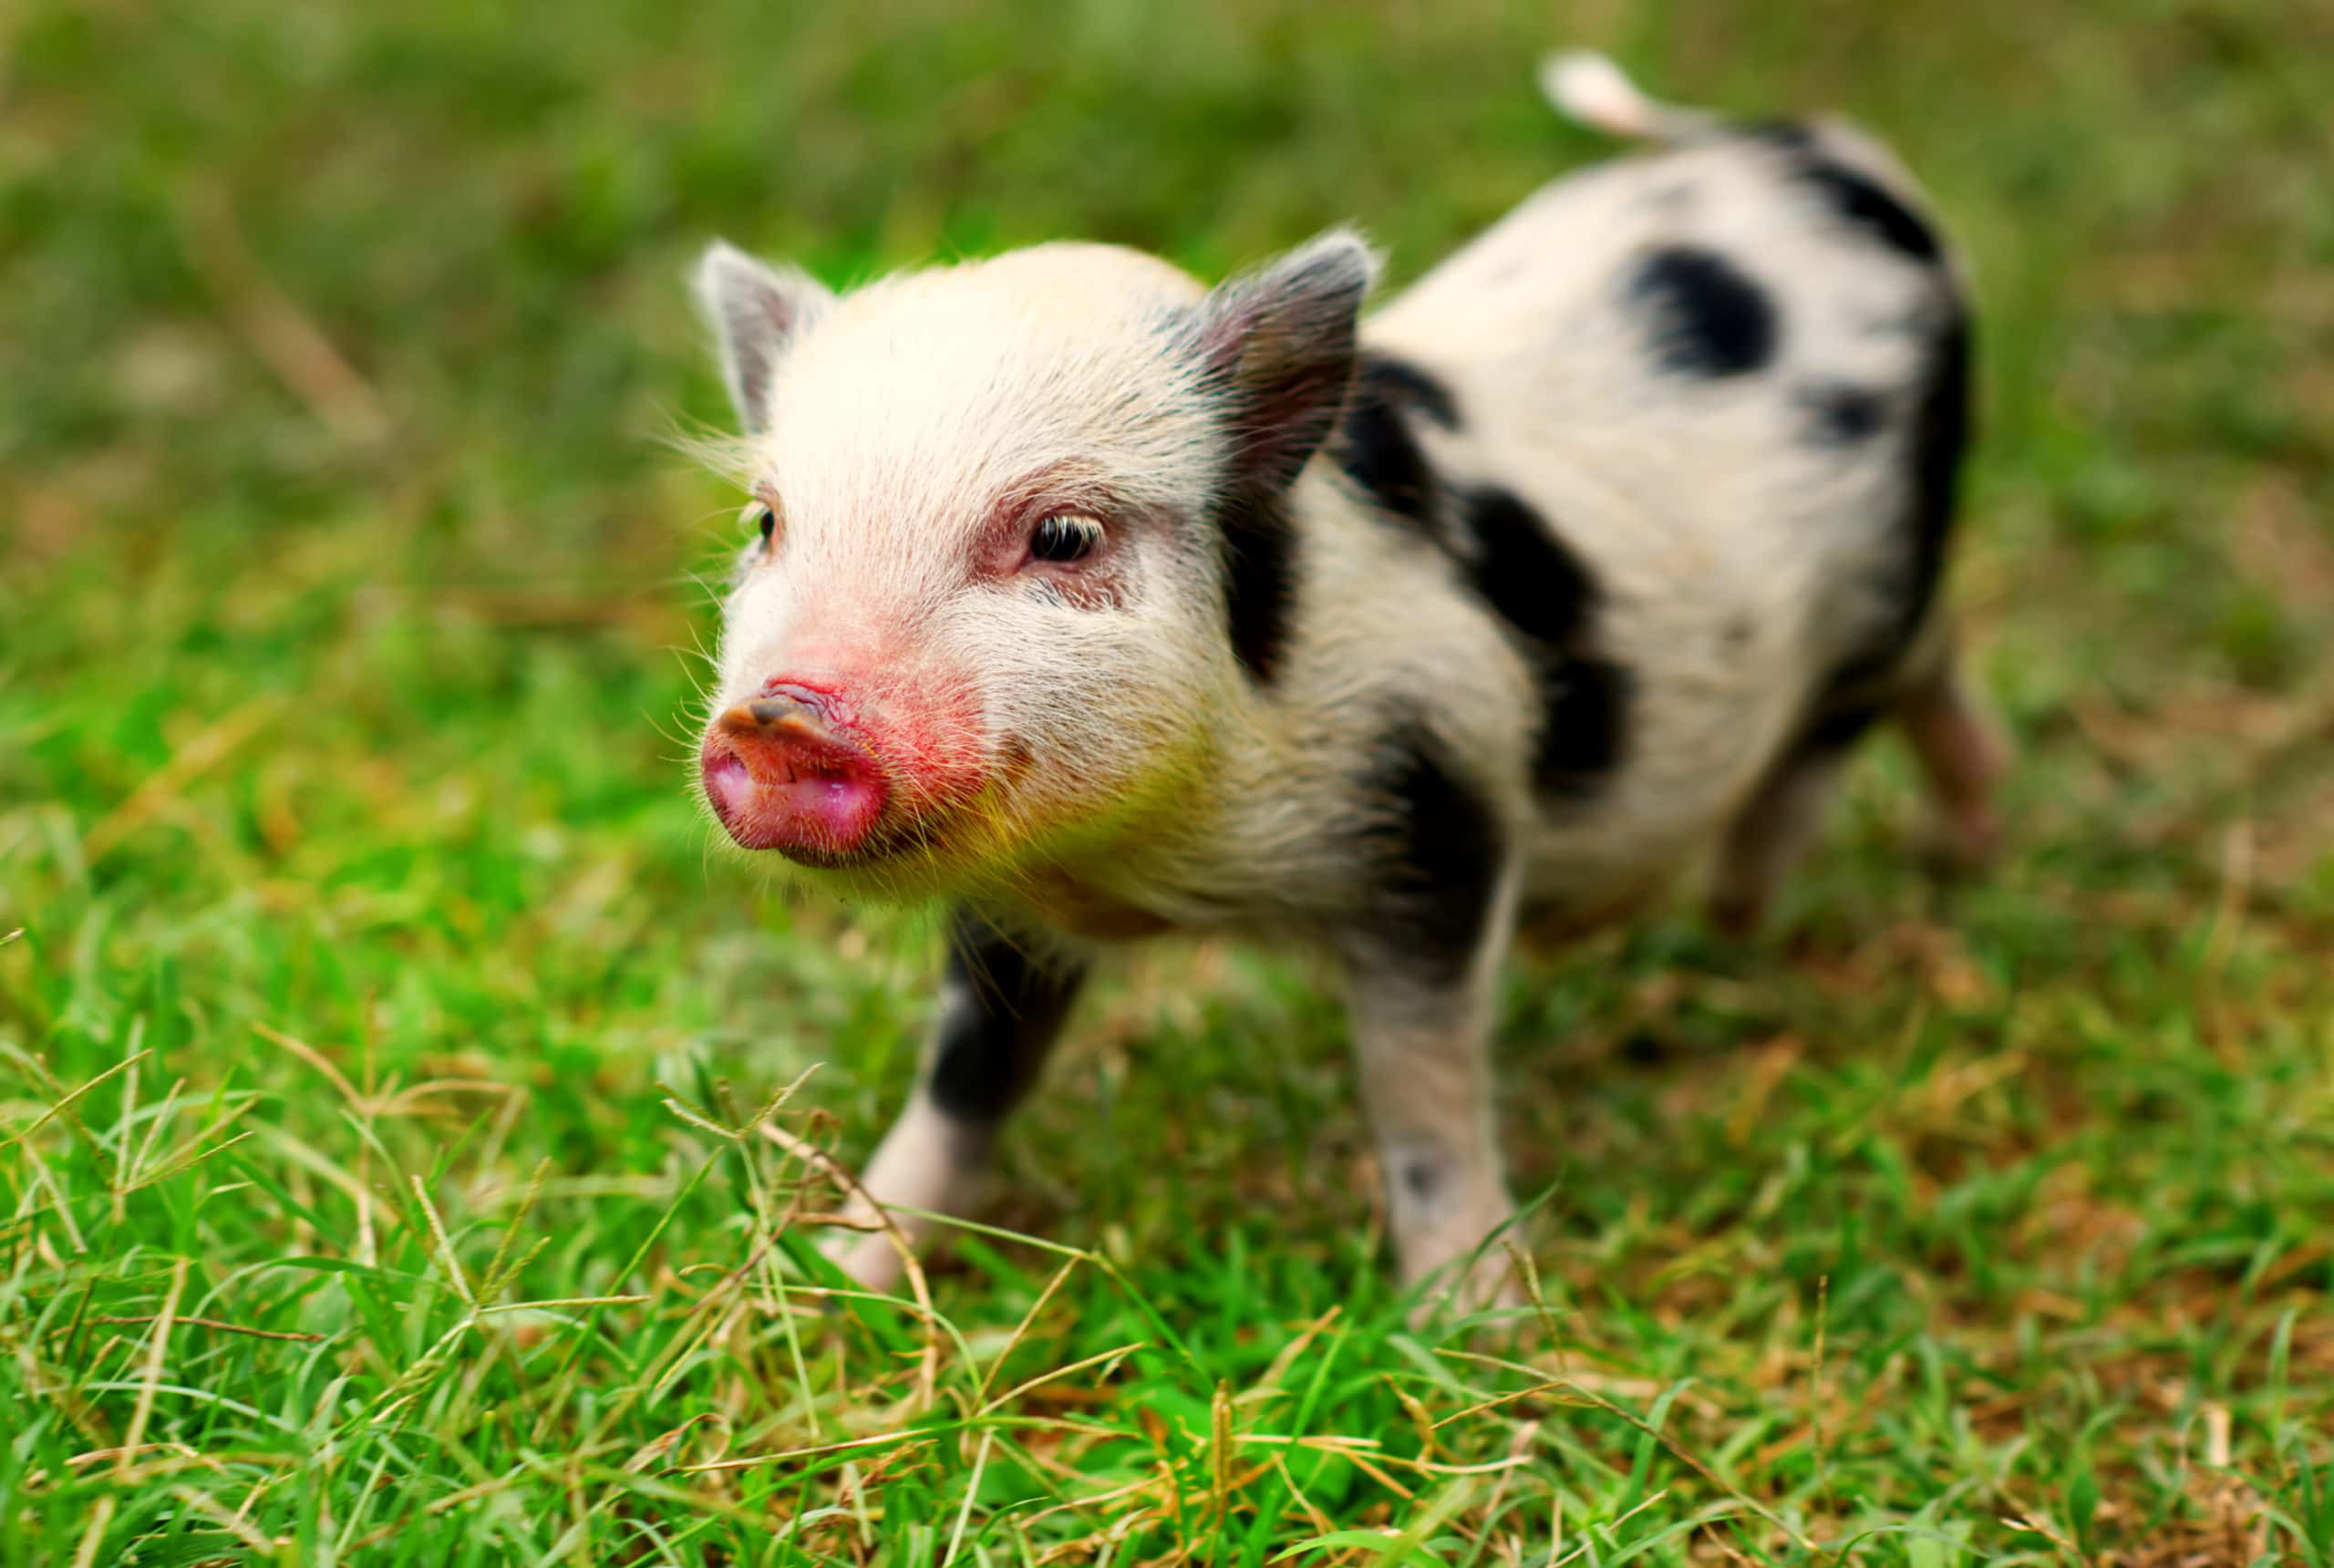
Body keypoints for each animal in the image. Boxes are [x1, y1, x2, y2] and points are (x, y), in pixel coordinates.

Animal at [686, 52, 2005, 1311]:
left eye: (1062, 536)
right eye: (768, 524)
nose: (784, 718)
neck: (1165, 872)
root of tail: (1816, 150)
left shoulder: (1442, 800)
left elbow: (1423, 1093)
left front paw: (1467, 1325)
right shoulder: (1014, 903)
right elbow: (966, 1079)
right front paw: (830, 1283)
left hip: (1891, 567)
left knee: (1847, 716)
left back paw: (1740, 913)